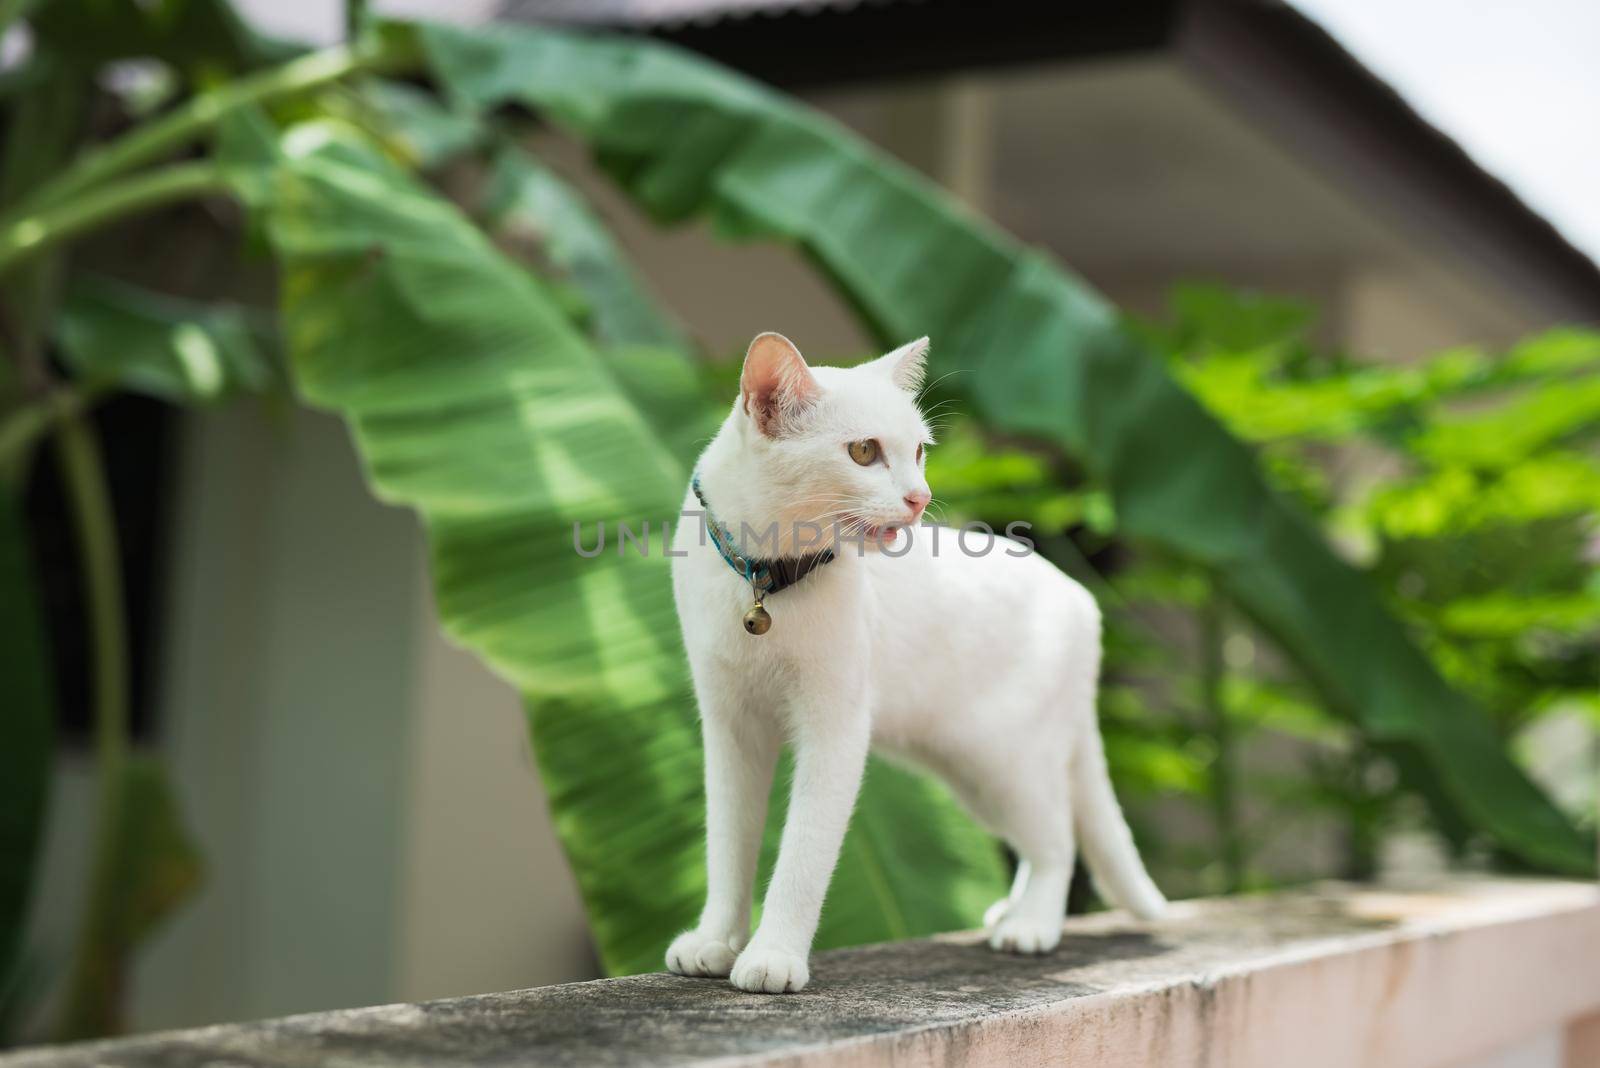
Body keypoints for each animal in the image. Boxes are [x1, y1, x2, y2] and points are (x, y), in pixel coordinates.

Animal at [662, 330, 1164, 991]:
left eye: (919, 452)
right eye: (864, 451)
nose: (919, 497)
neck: (764, 580)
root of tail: (1082, 598)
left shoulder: (835, 730)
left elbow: (803, 854)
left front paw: (773, 955)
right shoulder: (730, 729)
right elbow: (727, 846)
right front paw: (715, 941)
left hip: (1006, 760)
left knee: (1058, 841)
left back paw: (1031, 926)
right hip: (973, 775)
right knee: (1037, 843)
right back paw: (1012, 911)